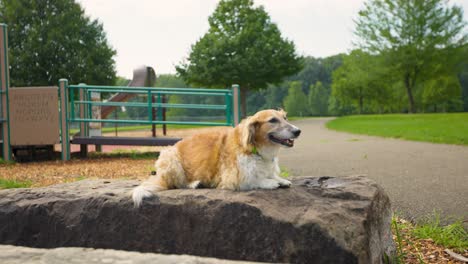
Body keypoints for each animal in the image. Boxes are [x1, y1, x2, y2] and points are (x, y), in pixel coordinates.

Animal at [132, 108, 300, 207]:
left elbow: (271, 175)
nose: (298, 131)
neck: (256, 149)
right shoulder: (233, 179)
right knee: (176, 184)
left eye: (285, 118)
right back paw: (194, 184)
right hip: (170, 157)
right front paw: (270, 182)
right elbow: (254, 179)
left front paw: (280, 179)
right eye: (272, 120)